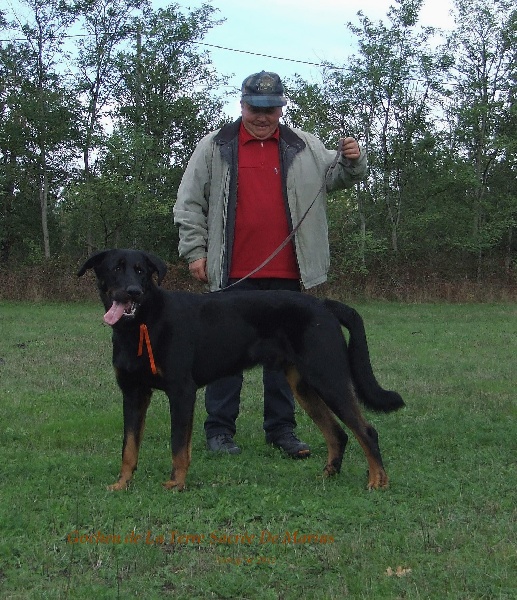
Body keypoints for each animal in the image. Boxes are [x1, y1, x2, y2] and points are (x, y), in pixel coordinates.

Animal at [78, 248, 406, 492]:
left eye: (141, 271)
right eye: (116, 269)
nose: (132, 291)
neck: (143, 323)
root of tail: (325, 305)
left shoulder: (181, 392)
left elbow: (178, 445)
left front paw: (177, 483)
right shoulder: (133, 393)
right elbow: (129, 446)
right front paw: (122, 483)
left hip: (329, 378)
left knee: (366, 430)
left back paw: (378, 481)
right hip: (304, 386)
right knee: (338, 433)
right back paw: (327, 476)